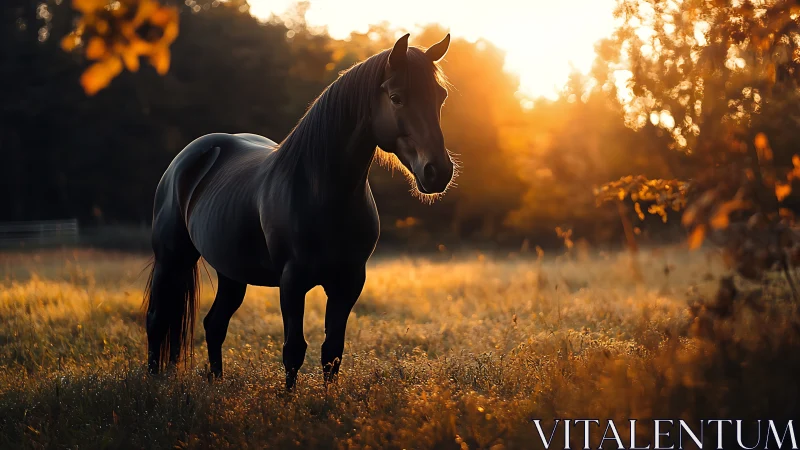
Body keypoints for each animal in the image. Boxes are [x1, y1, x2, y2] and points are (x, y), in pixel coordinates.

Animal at [143, 33, 454, 390]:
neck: (321, 191)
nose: (438, 172)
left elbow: (332, 351)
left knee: (214, 324)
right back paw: (152, 384)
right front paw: (289, 401)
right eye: (396, 98)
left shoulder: (349, 281)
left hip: (231, 272)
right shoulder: (292, 281)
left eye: (441, 97)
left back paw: (216, 384)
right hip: (172, 259)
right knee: (157, 321)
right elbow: (294, 349)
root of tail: (191, 155)